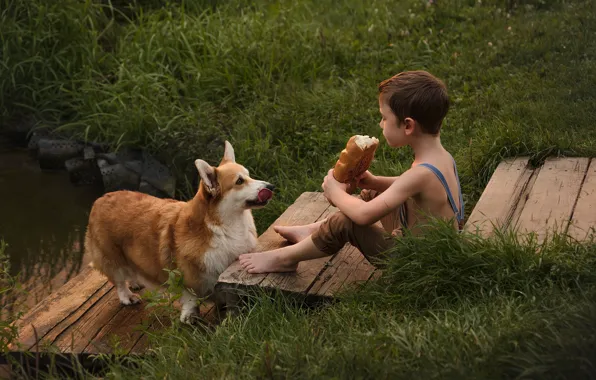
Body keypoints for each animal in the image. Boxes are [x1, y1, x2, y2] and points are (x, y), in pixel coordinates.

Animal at [84, 142, 274, 324]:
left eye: (248, 175)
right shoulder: (186, 275)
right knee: (118, 280)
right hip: (111, 258)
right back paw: (127, 296)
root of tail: (99, 199)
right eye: (239, 181)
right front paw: (190, 316)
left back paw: (136, 281)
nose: (271, 186)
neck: (225, 226)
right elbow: (190, 297)